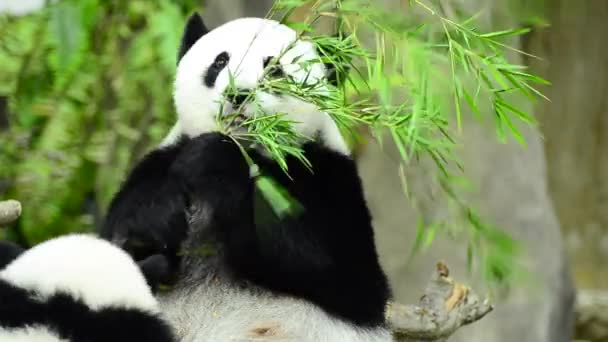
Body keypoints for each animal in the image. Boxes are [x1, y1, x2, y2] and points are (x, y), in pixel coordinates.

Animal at [102, 13, 392, 342]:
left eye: (275, 68)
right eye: (220, 61)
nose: (238, 93)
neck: (249, 149)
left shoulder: (327, 176)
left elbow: (331, 265)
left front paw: (215, 160)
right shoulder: (160, 160)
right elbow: (118, 234)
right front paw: (155, 223)